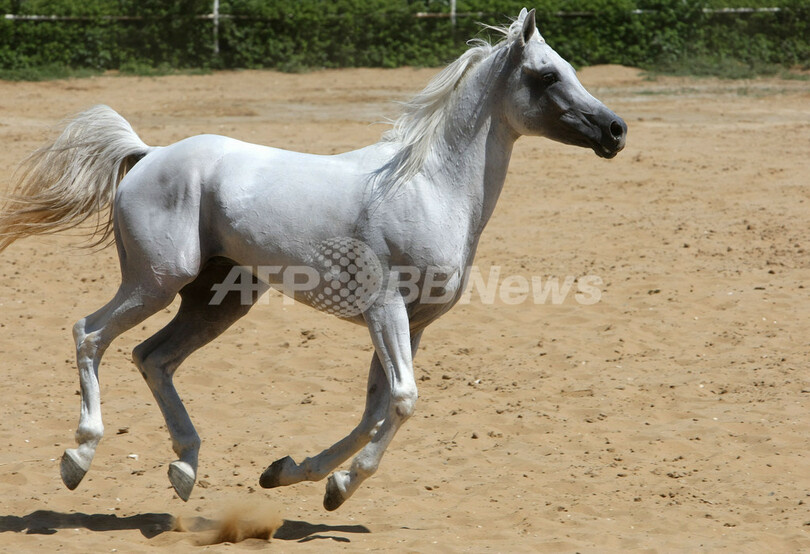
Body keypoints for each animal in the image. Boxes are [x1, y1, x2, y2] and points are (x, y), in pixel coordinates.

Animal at [0, 8, 626, 511]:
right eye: (547, 75)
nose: (615, 131)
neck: (428, 186)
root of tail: (149, 154)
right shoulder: (385, 311)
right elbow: (402, 402)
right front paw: (336, 487)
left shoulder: (415, 323)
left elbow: (376, 410)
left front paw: (293, 475)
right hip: (155, 281)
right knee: (91, 334)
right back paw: (79, 458)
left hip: (218, 301)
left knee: (153, 357)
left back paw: (185, 468)